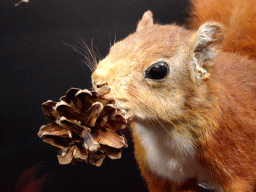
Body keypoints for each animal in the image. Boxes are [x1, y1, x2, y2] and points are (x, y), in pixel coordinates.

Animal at [90, 0, 256, 191]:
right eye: (115, 47)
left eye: (158, 70)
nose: (98, 80)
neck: (164, 131)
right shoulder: (157, 172)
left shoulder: (238, 157)